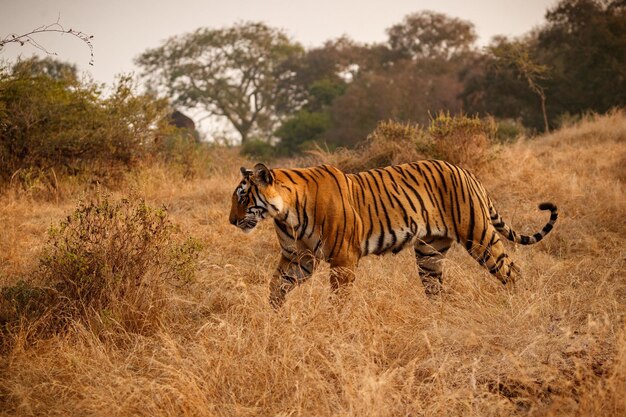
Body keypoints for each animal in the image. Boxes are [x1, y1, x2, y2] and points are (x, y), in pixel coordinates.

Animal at [228, 161, 556, 308]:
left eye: (242, 197)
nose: (231, 221)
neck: (285, 212)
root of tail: (466, 171)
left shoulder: (343, 258)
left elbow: (339, 299)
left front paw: (335, 326)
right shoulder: (298, 257)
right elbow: (275, 286)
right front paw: (273, 317)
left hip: (478, 235)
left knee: (511, 270)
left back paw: (522, 304)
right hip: (429, 252)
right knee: (435, 287)